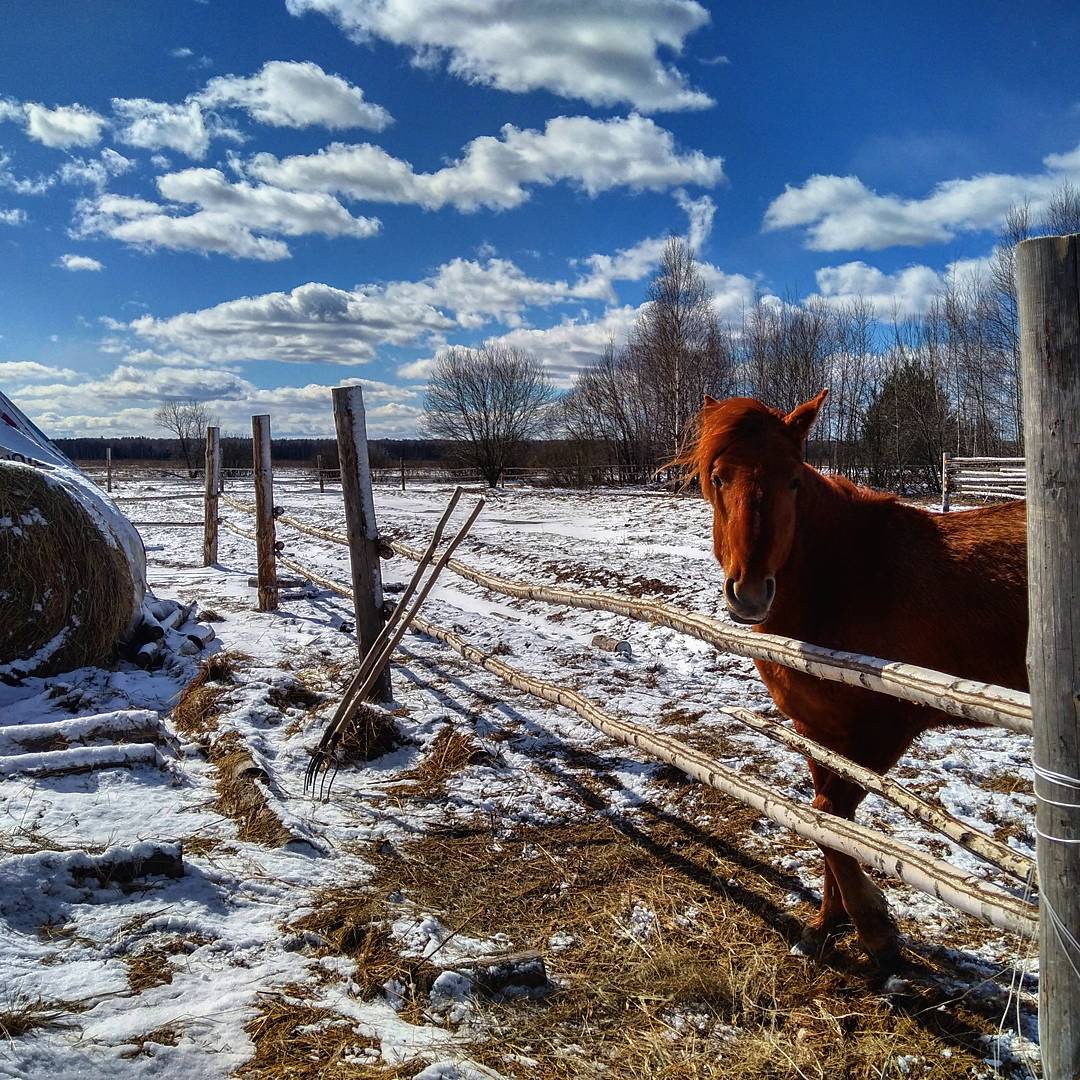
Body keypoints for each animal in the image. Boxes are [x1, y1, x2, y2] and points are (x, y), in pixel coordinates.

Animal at [682, 390, 1028, 972]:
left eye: (793, 480)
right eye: (717, 477)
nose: (749, 594)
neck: (845, 578)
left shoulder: (884, 730)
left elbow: (829, 815)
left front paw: (874, 928)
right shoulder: (817, 730)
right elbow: (828, 825)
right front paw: (827, 925)